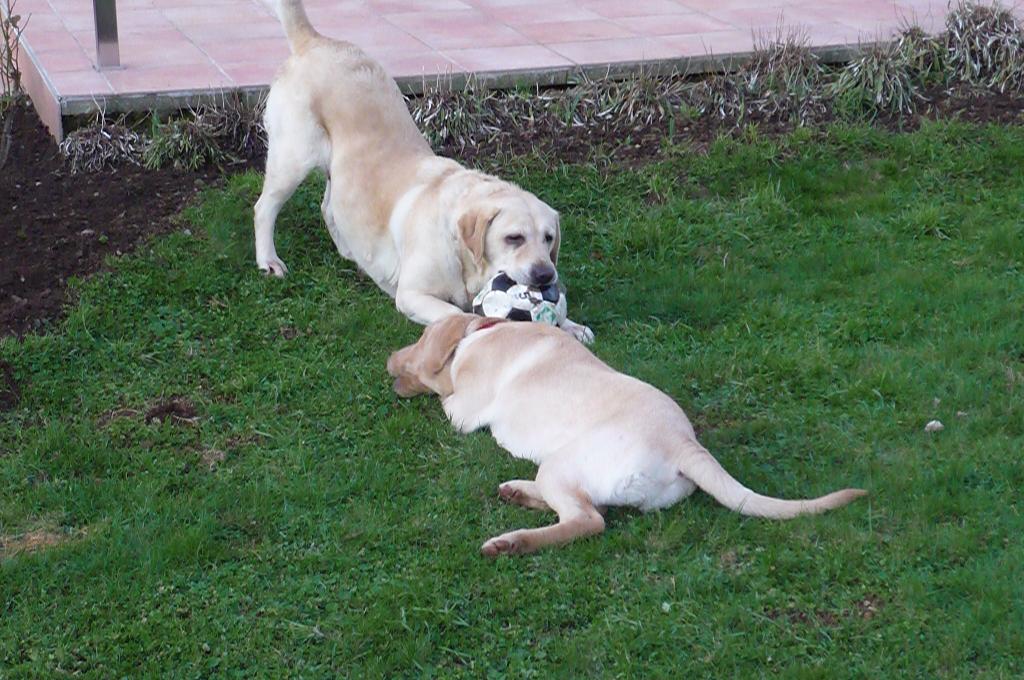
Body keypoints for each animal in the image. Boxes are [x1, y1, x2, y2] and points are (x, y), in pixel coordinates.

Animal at [253, 0, 593, 340]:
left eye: (549, 238)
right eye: (514, 238)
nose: (545, 274)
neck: (461, 252)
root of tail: (313, 40)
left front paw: (571, 325)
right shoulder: (413, 295)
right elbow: (457, 313)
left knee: (329, 206)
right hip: (293, 157)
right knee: (264, 207)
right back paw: (268, 259)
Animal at [387, 315, 868, 557]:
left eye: (419, 340)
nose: (389, 358)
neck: (482, 329)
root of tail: (684, 443)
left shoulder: (462, 411)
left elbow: (445, 400)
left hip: (564, 463)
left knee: (588, 520)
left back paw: (512, 542)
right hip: (573, 471)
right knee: (587, 506)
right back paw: (517, 494)